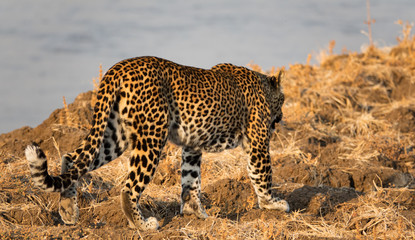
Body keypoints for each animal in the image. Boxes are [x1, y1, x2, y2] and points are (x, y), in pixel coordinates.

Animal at [25, 56, 290, 231]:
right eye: (284, 99)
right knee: (128, 187)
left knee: (72, 159)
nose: (281, 117)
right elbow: (262, 176)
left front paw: (196, 213)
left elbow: (190, 180)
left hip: (114, 135)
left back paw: (68, 212)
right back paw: (142, 225)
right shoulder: (258, 144)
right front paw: (273, 205)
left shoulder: (191, 146)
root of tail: (118, 68)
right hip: (151, 138)